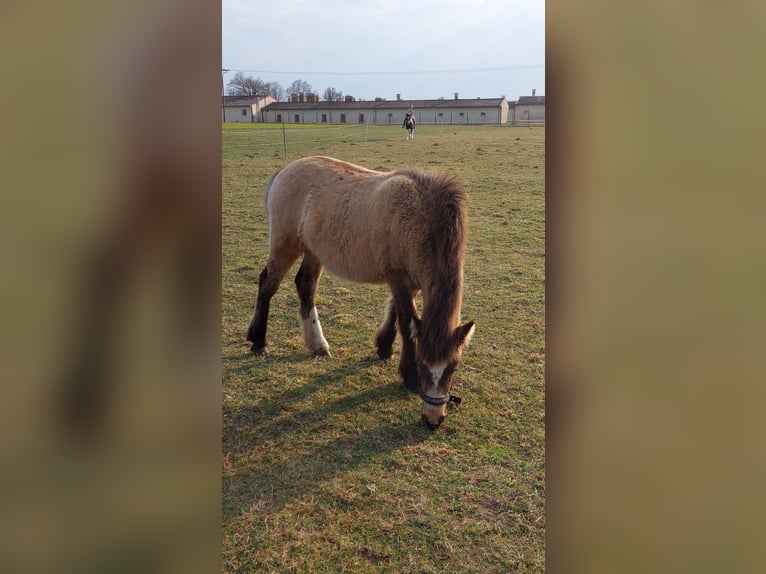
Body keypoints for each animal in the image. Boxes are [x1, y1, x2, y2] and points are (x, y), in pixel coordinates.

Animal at [248, 155, 474, 430]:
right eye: (422, 364)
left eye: (453, 367)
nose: (433, 420)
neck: (422, 217)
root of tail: (285, 170)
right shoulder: (398, 277)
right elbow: (405, 320)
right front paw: (407, 374)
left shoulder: (412, 282)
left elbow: (395, 312)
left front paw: (383, 348)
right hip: (285, 245)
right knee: (268, 284)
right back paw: (258, 341)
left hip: (313, 251)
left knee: (305, 286)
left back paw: (317, 344)